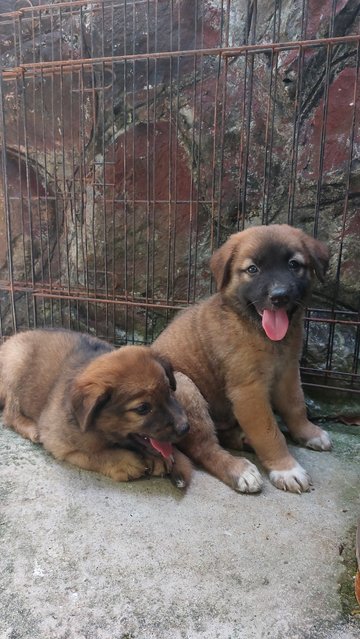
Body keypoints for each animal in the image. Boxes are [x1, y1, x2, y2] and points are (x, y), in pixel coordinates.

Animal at [0, 330, 193, 490]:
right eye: (143, 408)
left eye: (169, 391)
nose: (185, 428)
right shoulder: (59, 442)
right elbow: (94, 454)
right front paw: (124, 461)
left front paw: (166, 457)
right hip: (16, 367)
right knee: (9, 414)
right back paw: (31, 428)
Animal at [153, 225, 332, 496]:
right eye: (252, 269)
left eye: (294, 264)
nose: (279, 296)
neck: (256, 329)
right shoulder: (249, 390)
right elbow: (268, 431)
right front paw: (286, 468)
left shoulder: (289, 372)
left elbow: (296, 406)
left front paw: (308, 433)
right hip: (185, 387)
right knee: (203, 448)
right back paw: (239, 470)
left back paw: (243, 439)